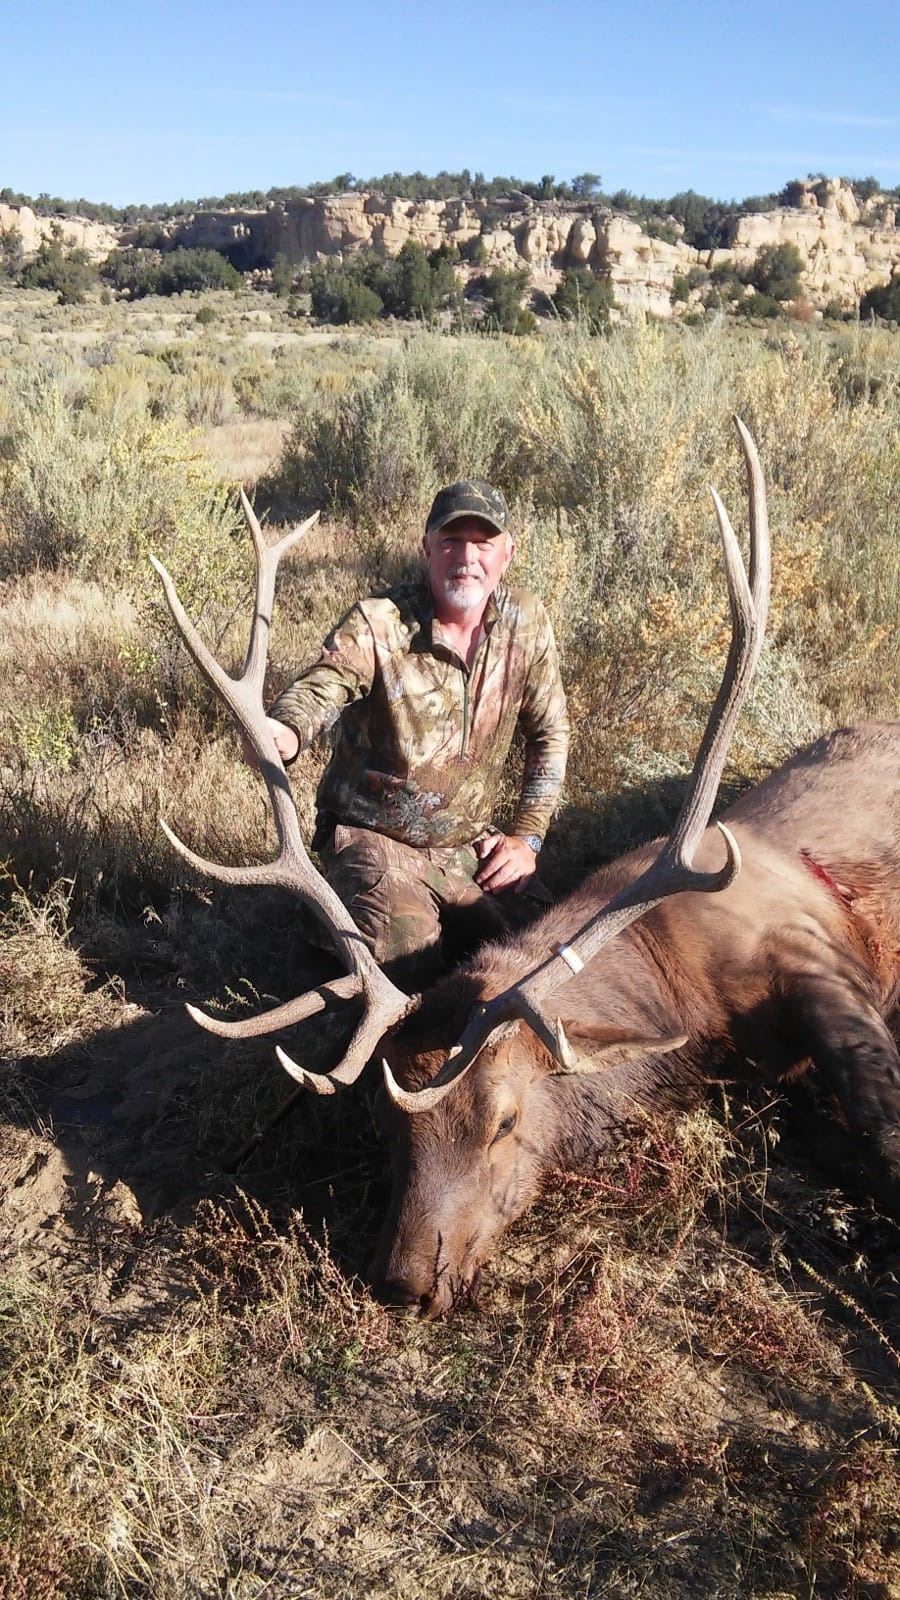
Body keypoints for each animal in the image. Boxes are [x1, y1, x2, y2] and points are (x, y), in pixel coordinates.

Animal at [152, 420, 900, 1317]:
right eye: (390, 1126)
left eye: (506, 1121)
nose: (407, 1279)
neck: (687, 991)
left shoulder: (811, 954)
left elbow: (880, 1119)